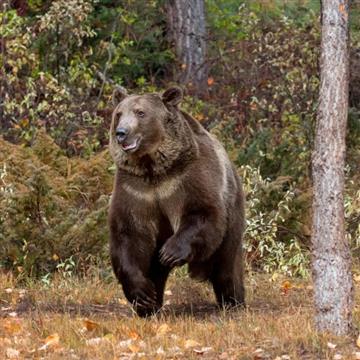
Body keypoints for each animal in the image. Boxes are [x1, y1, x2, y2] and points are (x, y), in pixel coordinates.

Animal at [108, 86, 246, 316]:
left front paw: (170, 252)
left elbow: (203, 213)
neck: (155, 169)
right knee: (155, 270)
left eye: (140, 112)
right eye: (119, 113)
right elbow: (129, 234)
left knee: (227, 265)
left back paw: (233, 302)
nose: (121, 133)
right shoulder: (135, 190)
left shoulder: (189, 178)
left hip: (233, 212)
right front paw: (142, 294)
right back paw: (150, 306)